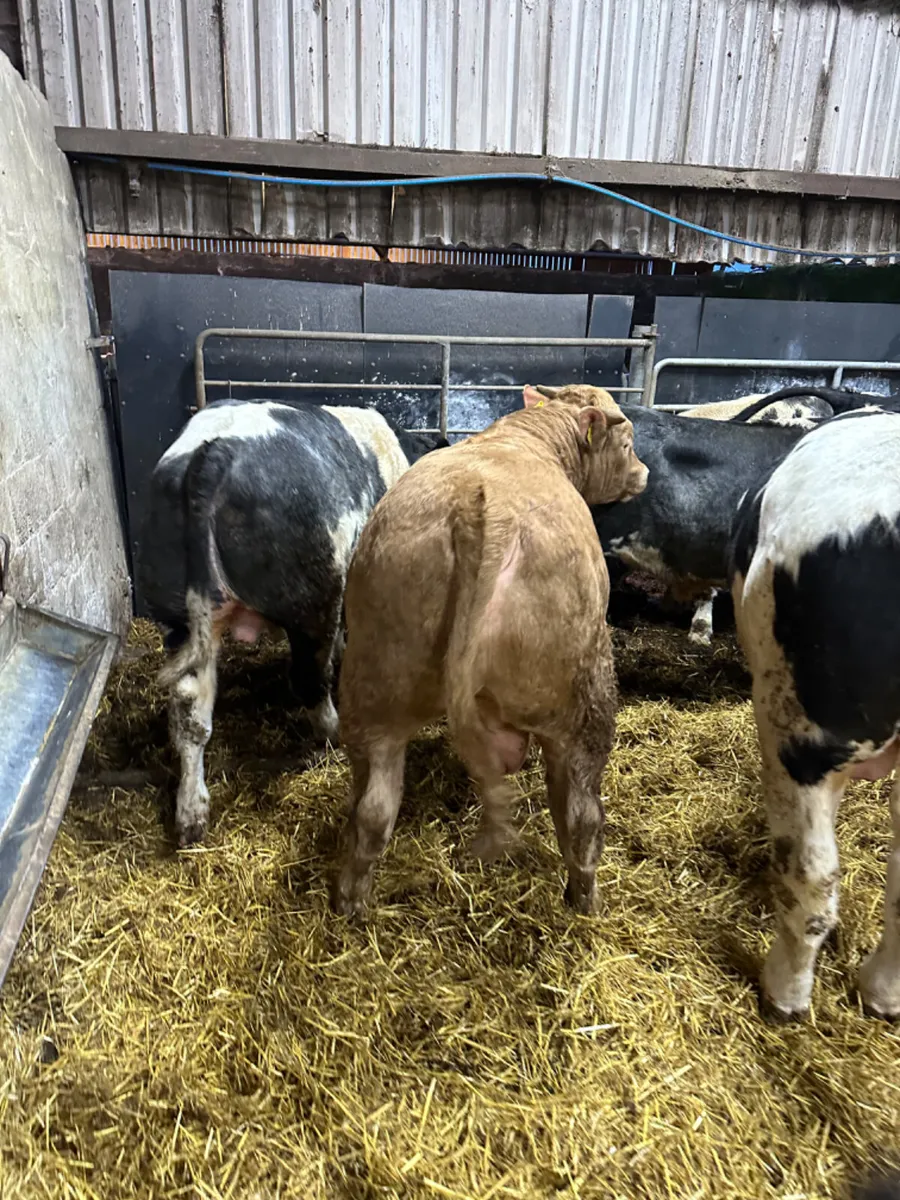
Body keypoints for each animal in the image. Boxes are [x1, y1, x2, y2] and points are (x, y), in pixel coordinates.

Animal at [139, 398, 447, 847]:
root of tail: (215, 452)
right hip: (312, 600)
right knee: (308, 679)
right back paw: (334, 732)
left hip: (178, 616)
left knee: (189, 709)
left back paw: (191, 817)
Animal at [332, 395, 648, 917]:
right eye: (627, 443)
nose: (643, 473)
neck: (523, 438)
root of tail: (479, 506)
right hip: (582, 693)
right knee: (580, 814)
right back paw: (586, 902)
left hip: (377, 679)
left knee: (372, 808)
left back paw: (351, 904)